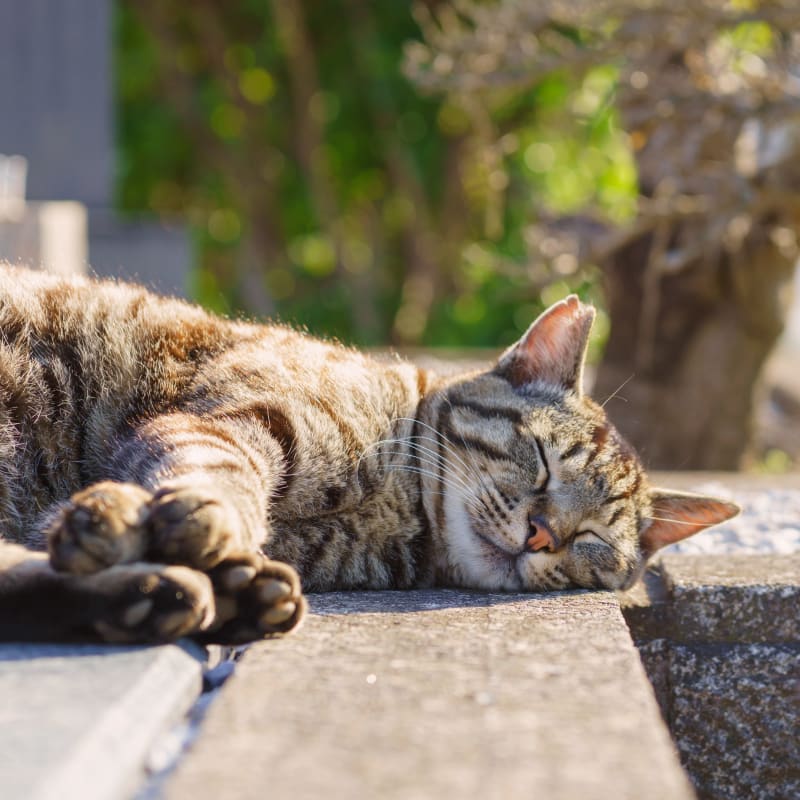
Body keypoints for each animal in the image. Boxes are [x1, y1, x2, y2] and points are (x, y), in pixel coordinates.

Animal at [0, 268, 740, 644]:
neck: (395, 511)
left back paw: (180, 596)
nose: (541, 534)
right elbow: (219, 474)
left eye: (591, 539)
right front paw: (188, 521)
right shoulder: (236, 418)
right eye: (541, 459)